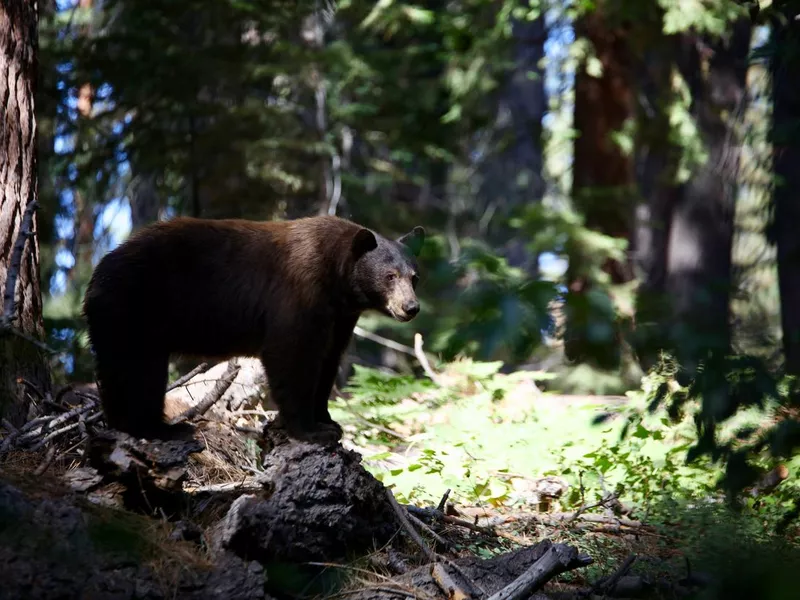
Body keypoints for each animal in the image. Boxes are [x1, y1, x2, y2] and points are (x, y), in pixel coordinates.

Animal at [83, 216, 424, 440]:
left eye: (414, 276)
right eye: (390, 276)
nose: (411, 307)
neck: (338, 280)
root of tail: (98, 274)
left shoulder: (340, 317)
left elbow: (328, 360)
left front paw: (328, 420)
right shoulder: (299, 293)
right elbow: (291, 354)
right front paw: (308, 429)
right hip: (133, 311)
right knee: (137, 371)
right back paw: (154, 428)